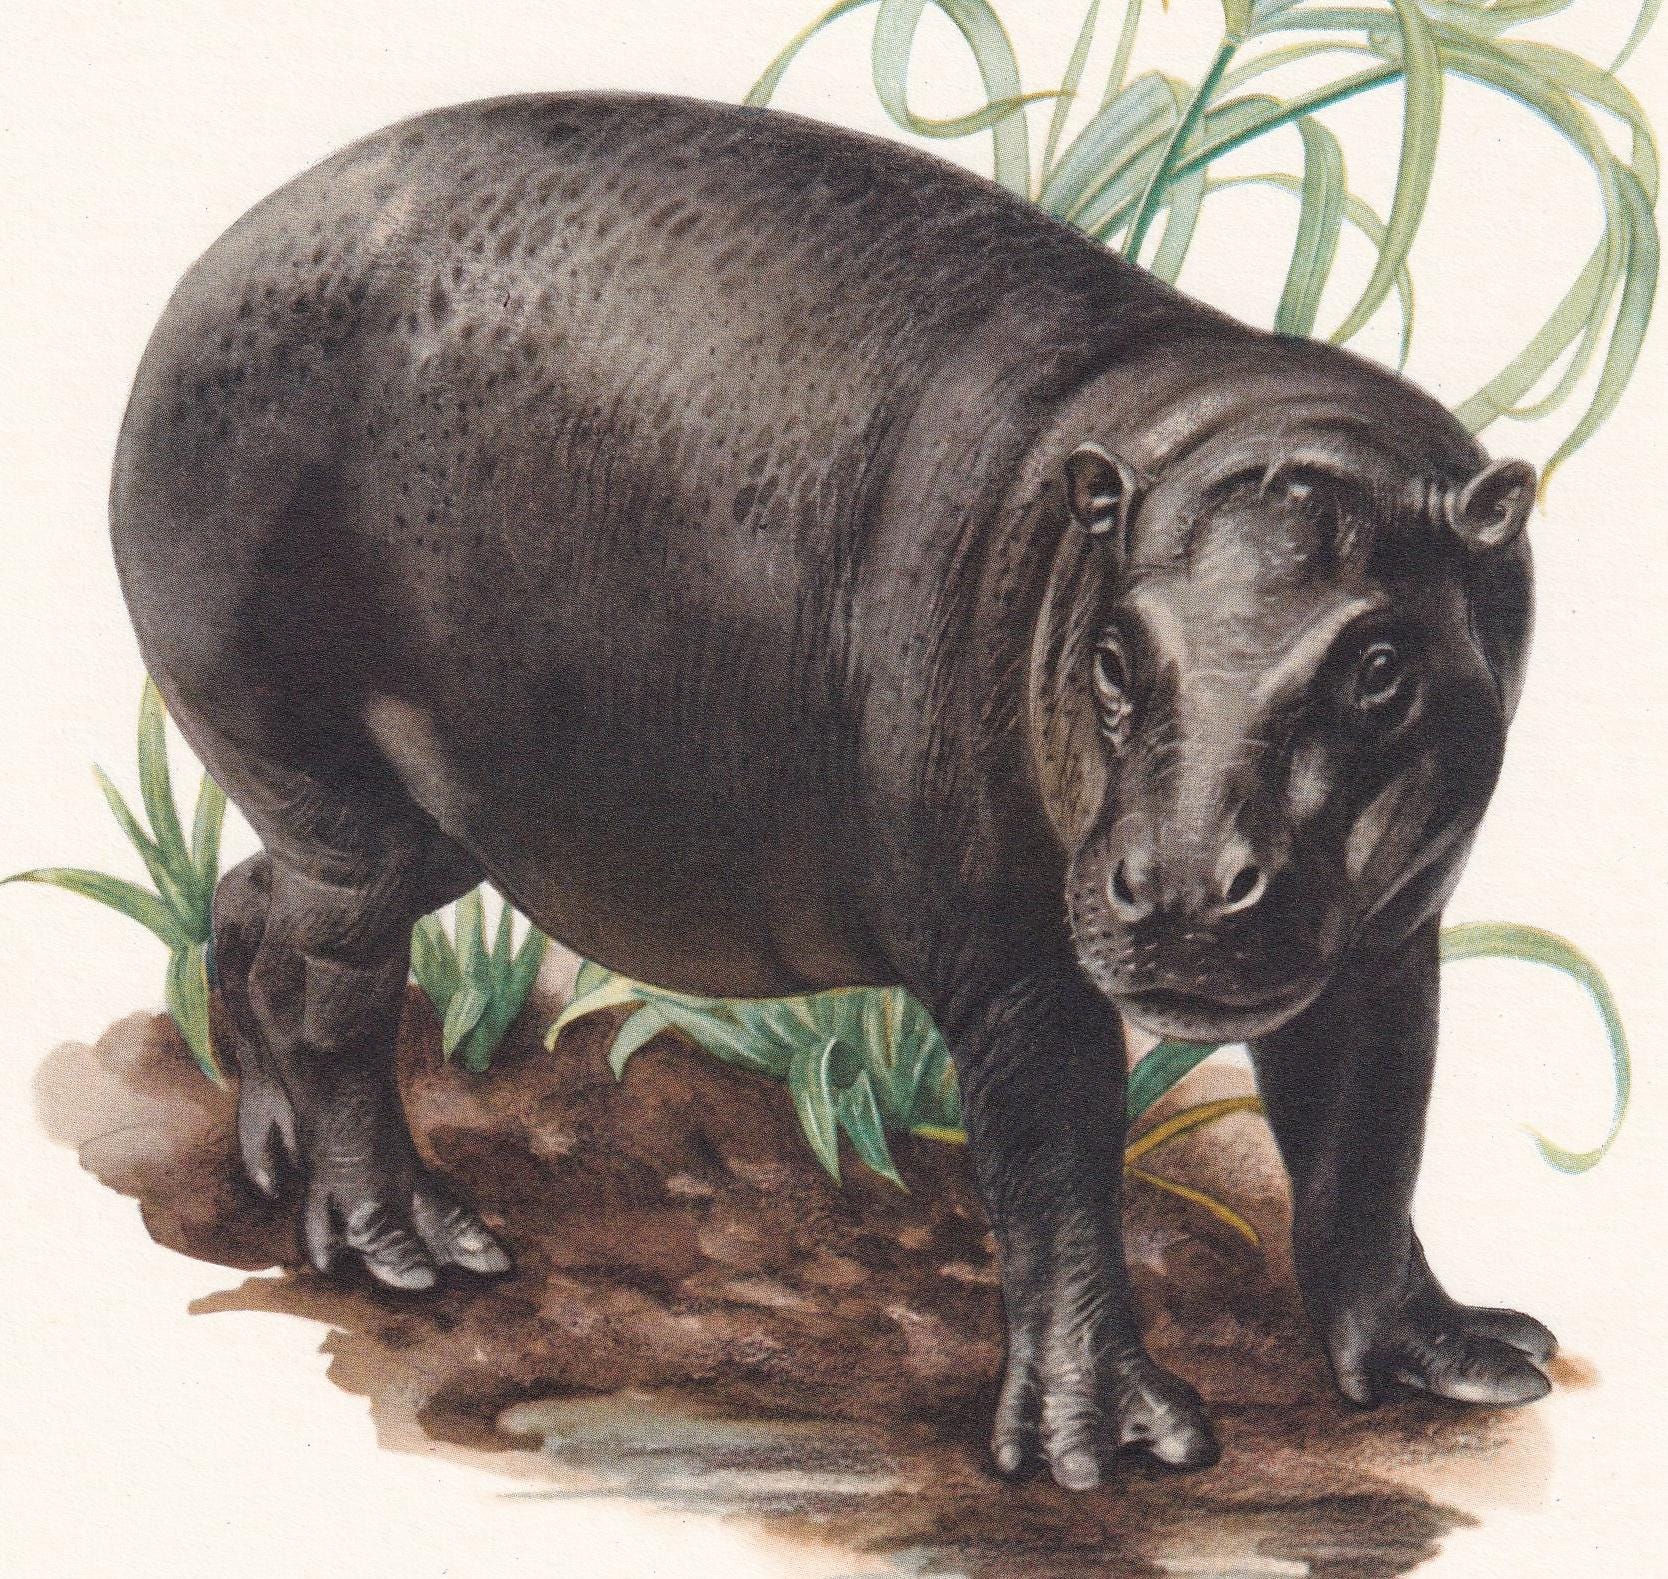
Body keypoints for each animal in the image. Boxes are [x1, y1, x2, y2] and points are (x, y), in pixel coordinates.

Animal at [110, 91, 1555, 1490]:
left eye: (1380, 660)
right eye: (1111, 649)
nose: (1189, 887)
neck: (1237, 436)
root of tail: (211, 267)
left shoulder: (1392, 931)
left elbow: (1369, 1136)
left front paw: (1468, 1358)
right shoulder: (1012, 956)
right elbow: (1056, 1169)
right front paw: (1104, 1447)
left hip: (436, 808)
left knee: (257, 908)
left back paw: (272, 1165)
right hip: (328, 775)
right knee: (334, 990)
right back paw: (416, 1246)